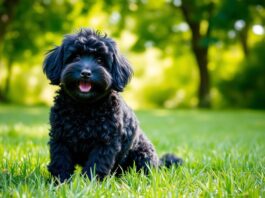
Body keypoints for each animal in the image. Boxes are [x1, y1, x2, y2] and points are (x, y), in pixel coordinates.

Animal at [42, 28, 182, 182]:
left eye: (100, 60)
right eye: (76, 57)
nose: (85, 73)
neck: (85, 107)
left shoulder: (105, 142)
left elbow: (97, 163)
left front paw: (91, 182)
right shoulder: (60, 138)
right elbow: (61, 161)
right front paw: (61, 181)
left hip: (143, 153)